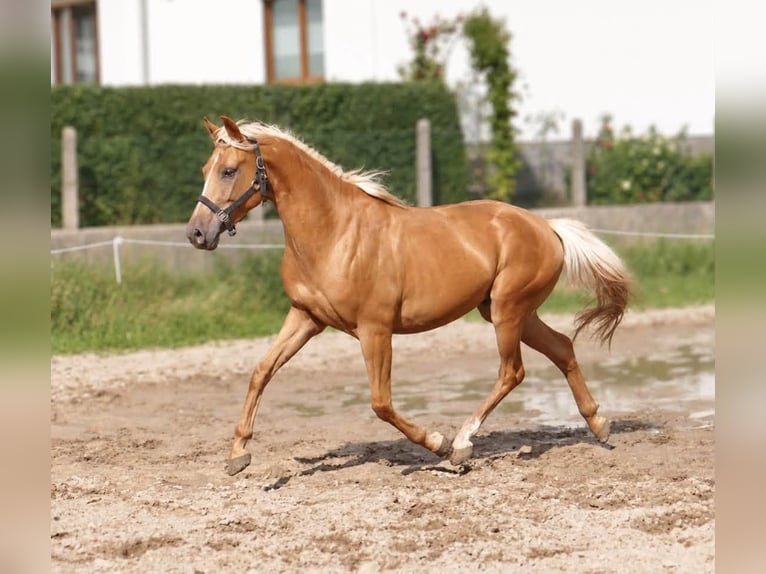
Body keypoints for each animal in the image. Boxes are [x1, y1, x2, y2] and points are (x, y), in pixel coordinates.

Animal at [186, 116, 631, 476]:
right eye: (205, 168)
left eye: (229, 170)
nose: (196, 234)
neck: (334, 232)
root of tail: (547, 226)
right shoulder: (306, 317)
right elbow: (261, 371)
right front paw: (238, 455)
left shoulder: (375, 329)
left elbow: (381, 403)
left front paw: (440, 444)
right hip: (508, 312)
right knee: (562, 347)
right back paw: (599, 425)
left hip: (508, 311)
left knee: (512, 372)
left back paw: (463, 443)